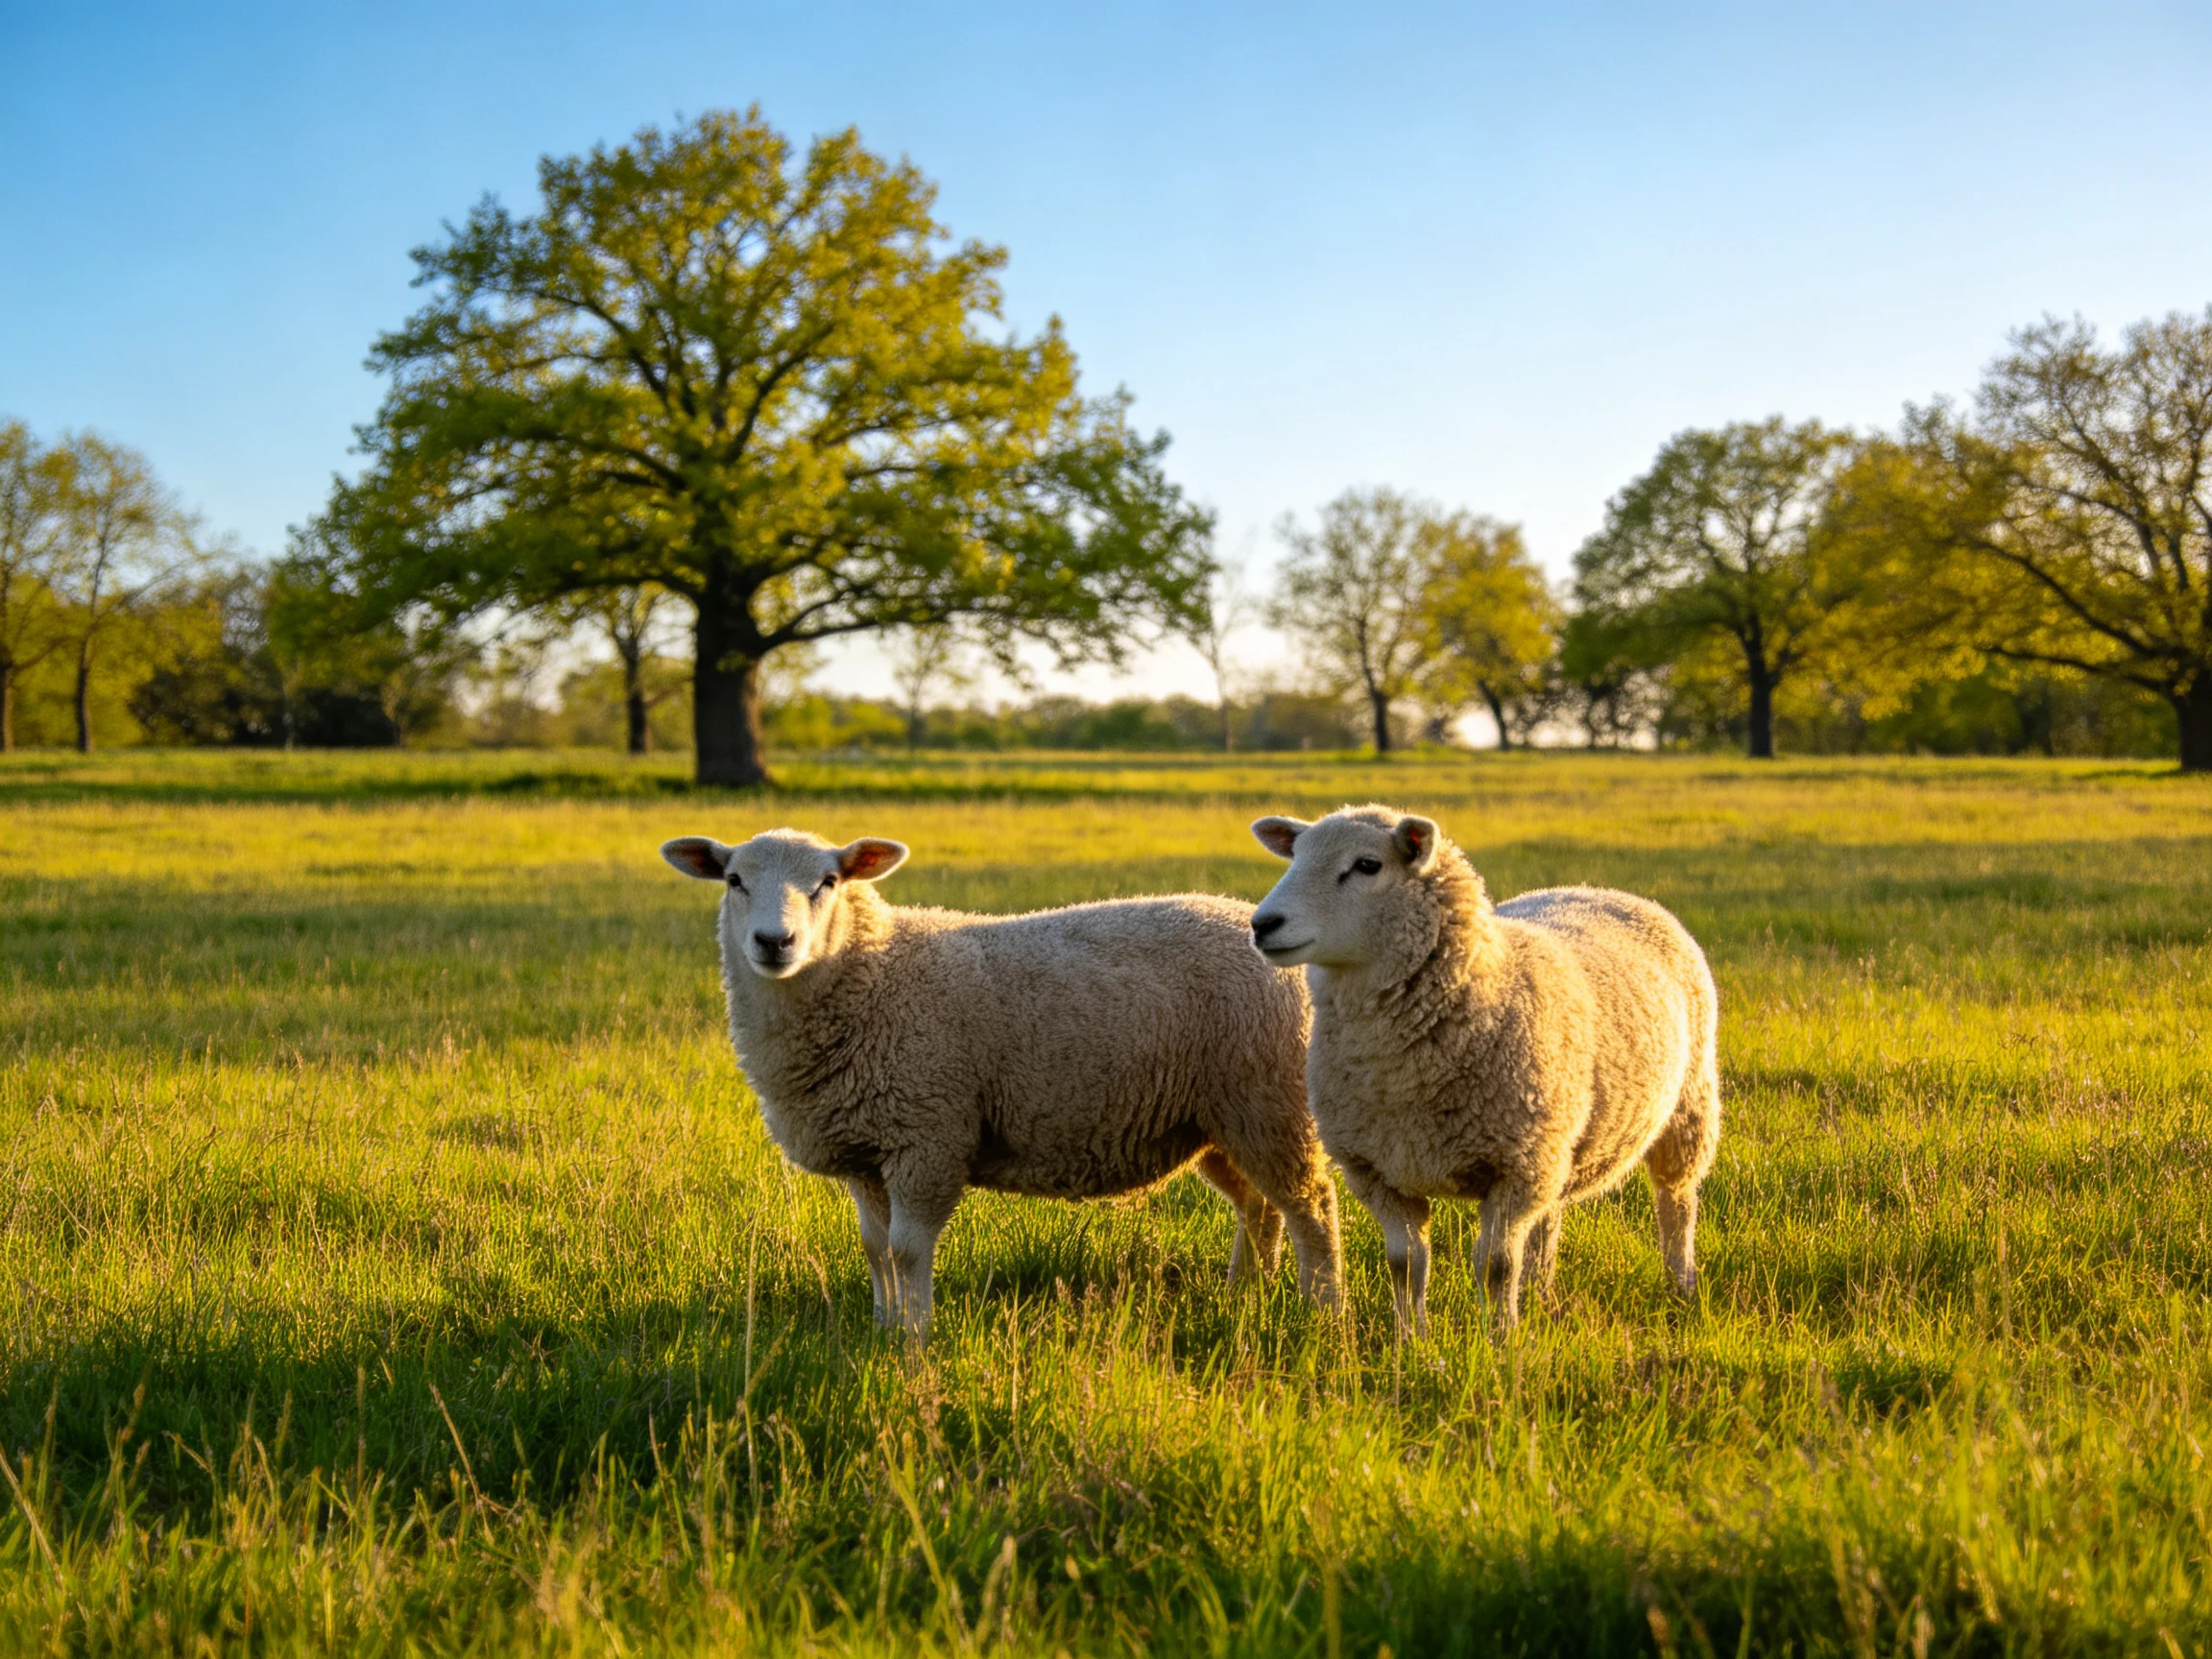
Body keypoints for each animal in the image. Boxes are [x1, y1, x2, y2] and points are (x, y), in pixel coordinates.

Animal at [662, 828, 1344, 1335]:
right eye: (734, 880)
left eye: (827, 882)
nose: (774, 942)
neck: (873, 971)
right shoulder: (867, 1151)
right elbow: (875, 1249)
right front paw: (884, 1326)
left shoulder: (927, 1136)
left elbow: (907, 1250)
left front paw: (913, 1340)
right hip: (1219, 1117)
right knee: (1260, 1207)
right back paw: (1247, 1294)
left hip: (1269, 1100)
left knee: (1310, 1207)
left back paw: (1320, 1311)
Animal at [1248, 804, 1719, 1338]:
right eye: (1296, 856)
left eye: (1368, 865)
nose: (1263, 924)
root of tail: (1603, 890)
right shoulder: (1378, 1170)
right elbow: (1405, 1264)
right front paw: (1411, 1341)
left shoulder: (1514, 1167)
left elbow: (1495, 1265)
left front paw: (1500, 1339)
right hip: (1557, 1141)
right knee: (1548, 1218)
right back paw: (1540, 1295)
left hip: (1687, 1103)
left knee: (1676, 1200)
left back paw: (1680, 1284)